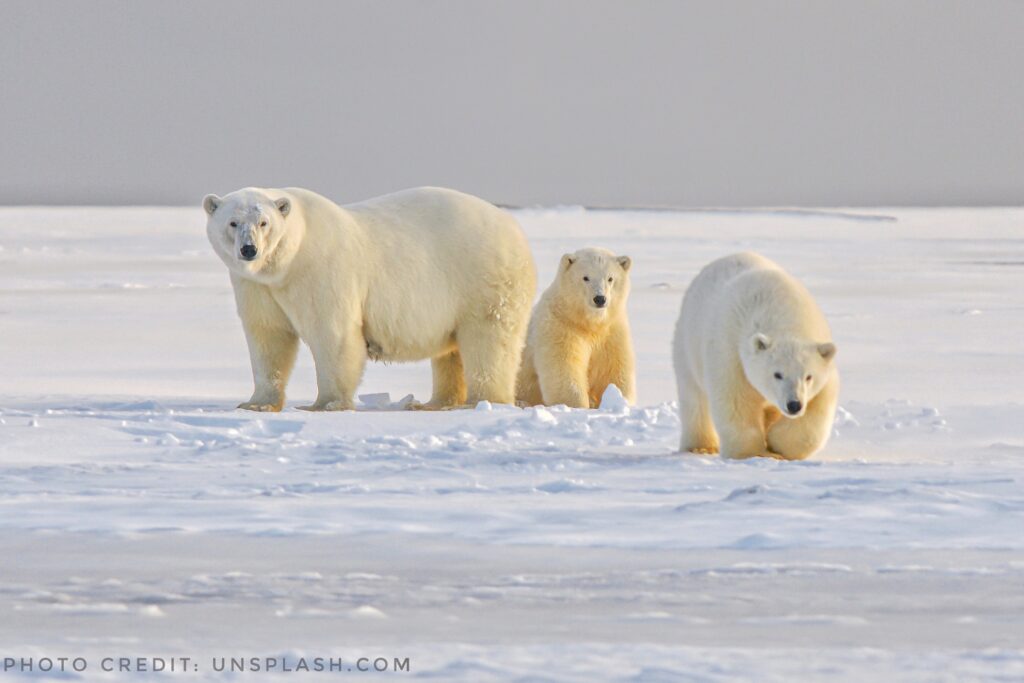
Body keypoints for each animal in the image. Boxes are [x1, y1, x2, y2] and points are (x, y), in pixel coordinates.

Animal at [199, 185, 536, 411]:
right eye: (232, 222)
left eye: (264, 222)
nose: (249, 249)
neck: (288, 262)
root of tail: (514, 229)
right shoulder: (256, 286)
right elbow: (268, 337)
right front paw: (256, 404)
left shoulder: (321, 270)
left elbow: (332, 334)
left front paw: (325, 404)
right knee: (450, 351)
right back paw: (435, 402)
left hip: (482, 279)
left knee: (488, 340)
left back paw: (482, 400)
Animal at [520, 246, 630, 409]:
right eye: (586, 277)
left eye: (610, 278)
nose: (600, 299)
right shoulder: (561, 326)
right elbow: (564, 368)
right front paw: (577, 405)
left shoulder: (611, 332)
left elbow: (612, 370)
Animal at [671, 253, 839, 462]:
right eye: (777, 374)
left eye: (809, 376)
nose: (794, 405)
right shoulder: (730, 351)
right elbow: (735, 399)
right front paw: (752, 453)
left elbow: (819, 406)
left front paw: (777, 444)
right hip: (687, 345)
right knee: (694, 397)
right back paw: (700, 447)